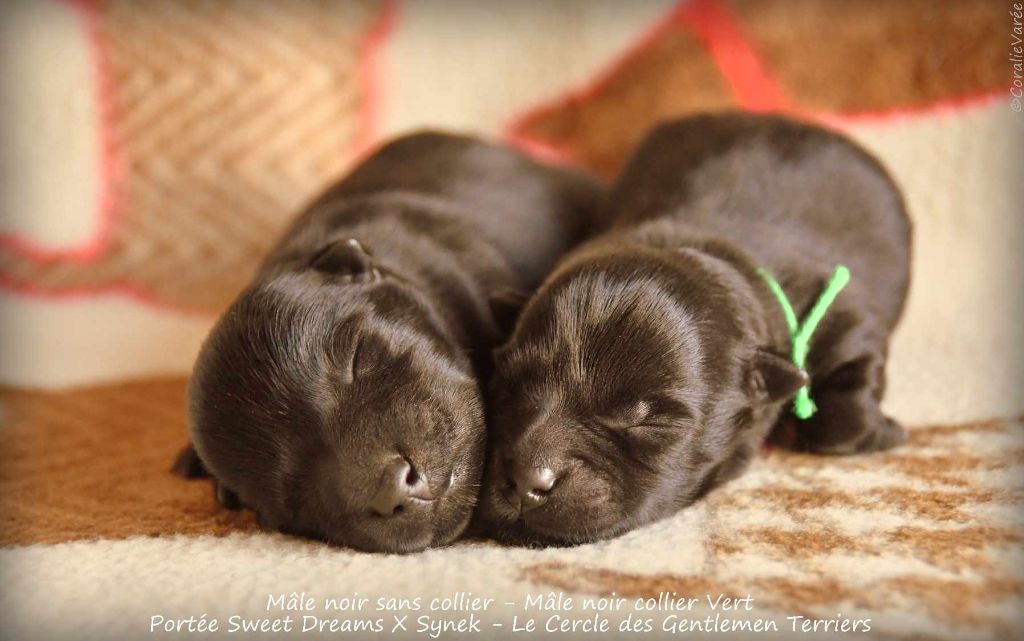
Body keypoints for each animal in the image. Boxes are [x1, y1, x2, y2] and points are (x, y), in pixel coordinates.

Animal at [479, 113, 913, 544]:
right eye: (510, 384)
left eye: (649, 418)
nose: (526, 482)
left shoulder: (849, 320)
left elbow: (842, 423)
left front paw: (887, 431)